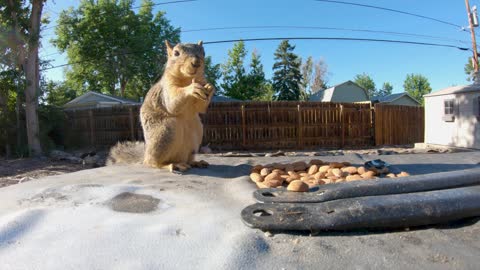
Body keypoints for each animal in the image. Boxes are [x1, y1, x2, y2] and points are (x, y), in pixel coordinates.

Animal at [109, 40, 216, 171]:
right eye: (176, 53)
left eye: (203, 52)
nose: (196, 63)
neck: (187, 79)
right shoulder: (166, 90)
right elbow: (172, 102)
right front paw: (192, 88)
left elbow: (201, 108)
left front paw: (210, 87)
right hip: (165, 132)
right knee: (153, 162)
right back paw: (169, 165)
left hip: (196, 131)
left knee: (188, 159)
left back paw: (195, 162)